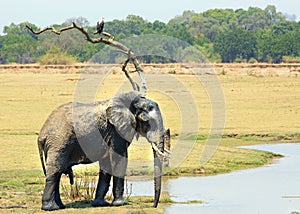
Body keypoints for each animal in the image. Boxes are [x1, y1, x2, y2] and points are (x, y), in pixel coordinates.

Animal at [37, 90, 169, 211]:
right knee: (55, 171)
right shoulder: (117, 131)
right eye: (148, 122)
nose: (153, 206)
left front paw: (101, 204)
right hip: (59, 142)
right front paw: (121, 203)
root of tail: (41, 135)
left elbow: (106, 164)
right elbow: (119, 159)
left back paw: (60, 206)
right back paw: (50, 208)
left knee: (58, 173)